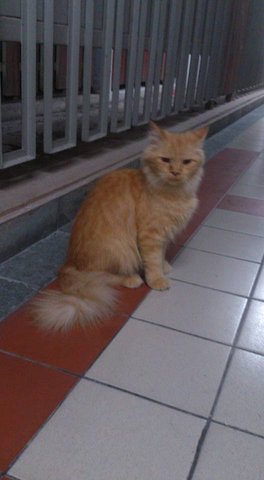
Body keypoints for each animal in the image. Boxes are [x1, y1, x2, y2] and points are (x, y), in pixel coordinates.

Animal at [34, 122, 208, 330]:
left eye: (186, 162)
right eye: (165, 160)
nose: (175, 172)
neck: (175, 194)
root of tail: (70, 261)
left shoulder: (164, 234)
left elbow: (161, 254)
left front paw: (164, 266)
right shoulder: (150, 234)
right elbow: (152, 260)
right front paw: (157, 279)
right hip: (120, 249)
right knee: (99, 276)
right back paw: (132, 278)